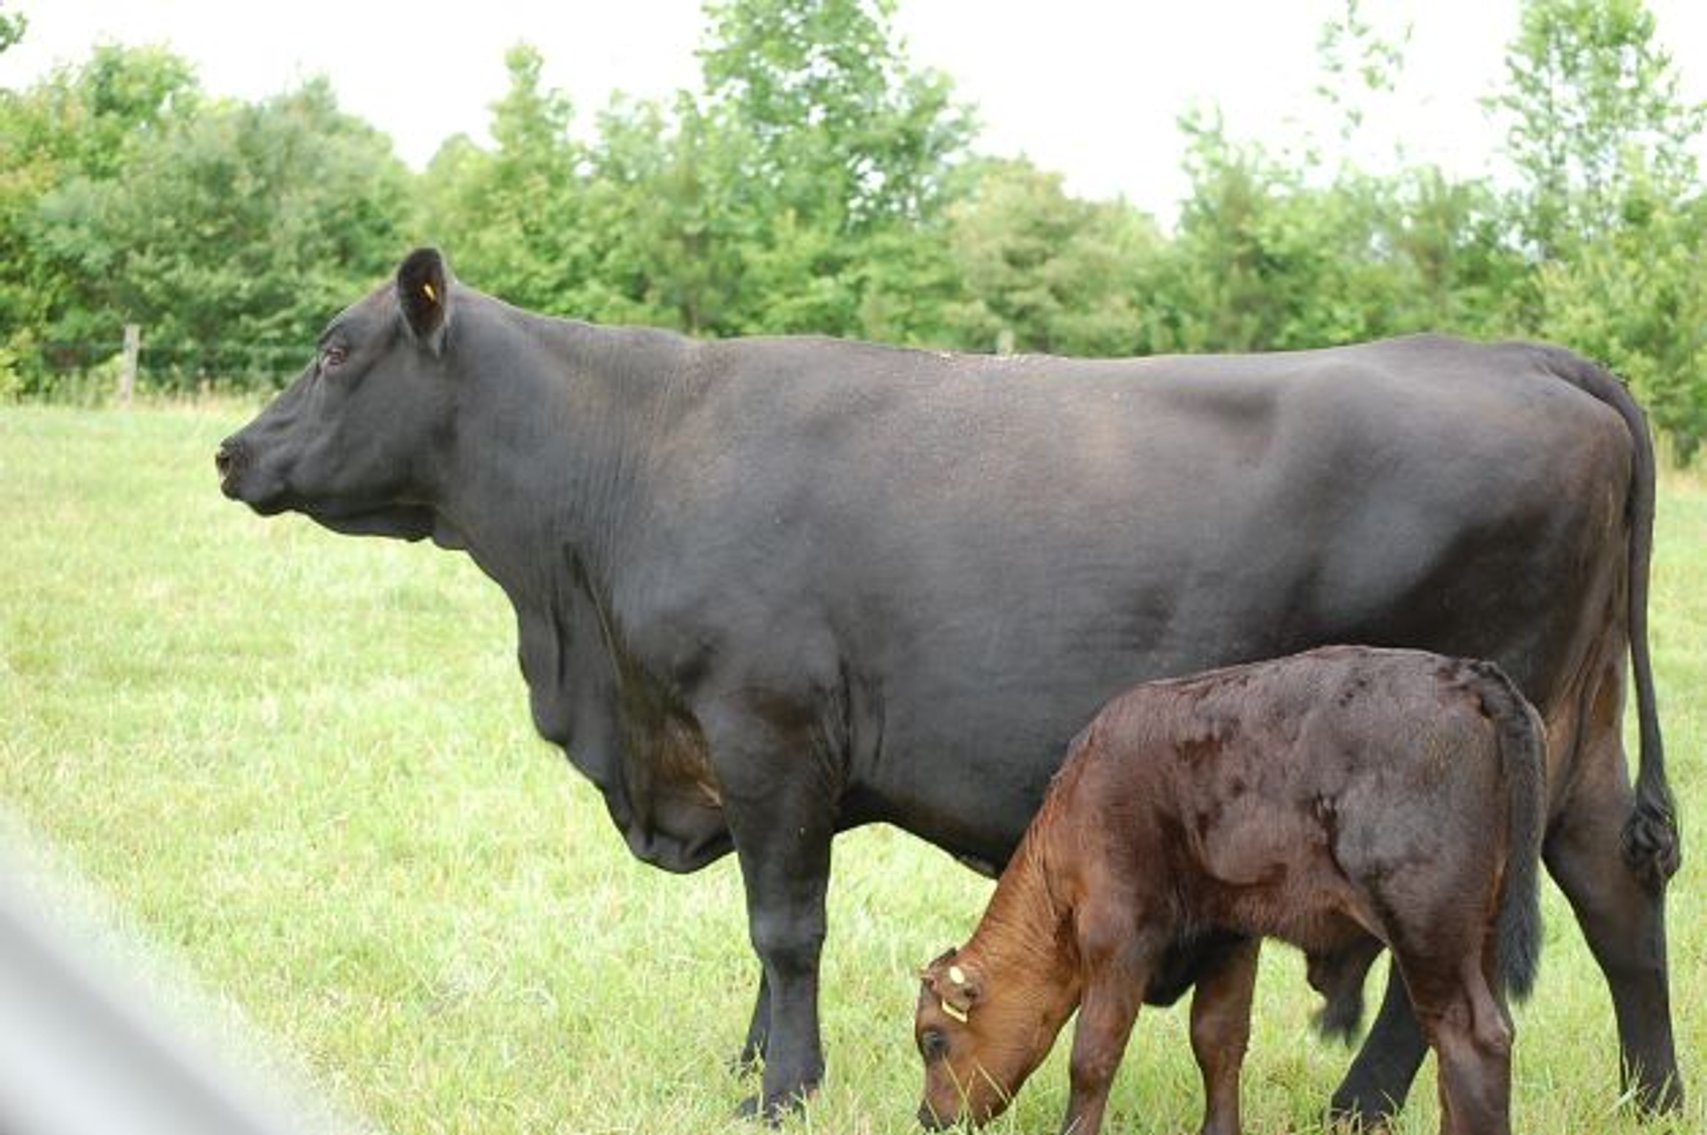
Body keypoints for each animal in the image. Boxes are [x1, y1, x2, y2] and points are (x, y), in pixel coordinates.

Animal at [913, 645, 1547, 1135]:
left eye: (933, 1039)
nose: (927, 1117)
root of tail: (1466, 677)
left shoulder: (1118, 938)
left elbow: (1093, 1056)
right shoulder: (1231, 935)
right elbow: (1218, 1042)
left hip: (1427, 933)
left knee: (1471, 1041)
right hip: (1478, 940)